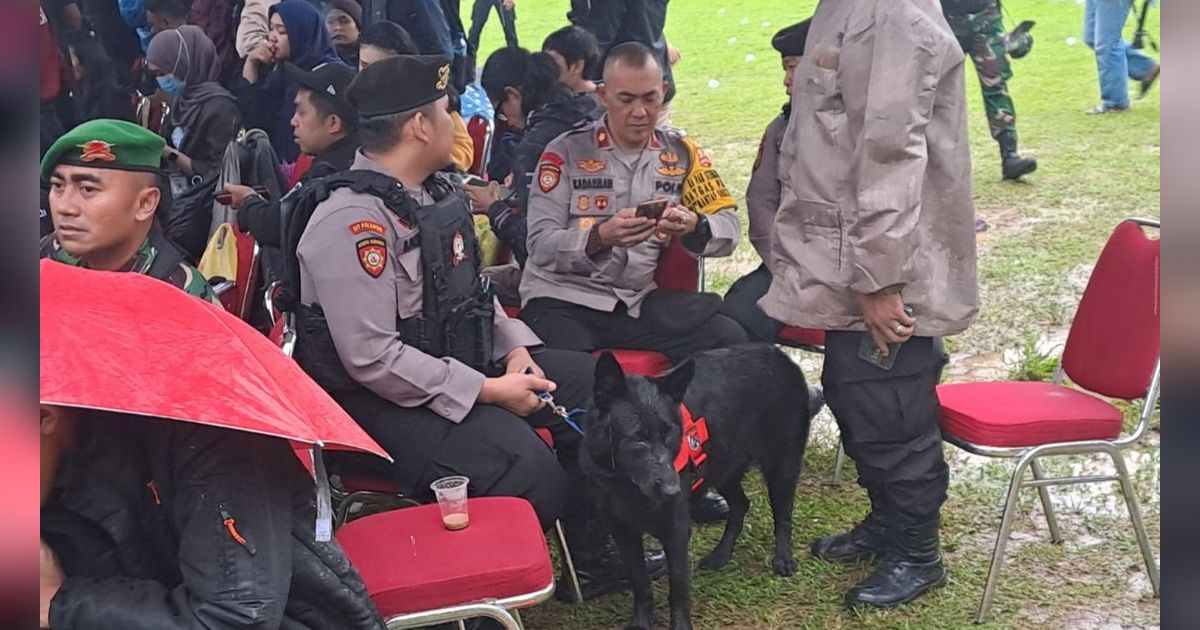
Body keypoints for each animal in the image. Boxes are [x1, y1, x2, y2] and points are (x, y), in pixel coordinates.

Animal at [578, 343, 820, 628]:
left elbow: (678, 591)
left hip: (781, 465)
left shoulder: (676, 533)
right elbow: (640, 584)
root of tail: (781, 356)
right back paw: (721, 554)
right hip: (724, 467)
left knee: (782, 516)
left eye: (669, 434)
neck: (625, 485)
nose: (673, 490)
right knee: (741, 505)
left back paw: (783, 558)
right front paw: (641, 622)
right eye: (638, 439)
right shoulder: (623, 533)